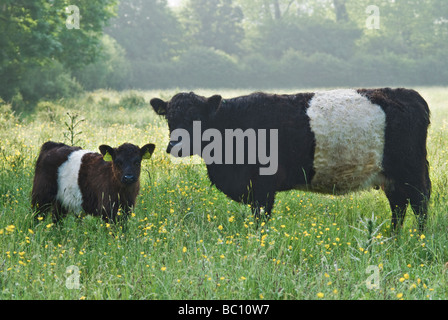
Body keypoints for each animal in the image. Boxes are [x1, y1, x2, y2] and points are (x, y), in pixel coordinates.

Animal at [150, 89, 430, 231]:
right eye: (170, 118)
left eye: (196, 118)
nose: (174, 146)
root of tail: (409, 94)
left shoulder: (263, 186)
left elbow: (260, 218)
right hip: (392, 178)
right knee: (399, 206)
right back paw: (393, 238)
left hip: (412, 172)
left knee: (420, 204)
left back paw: (420, 238)